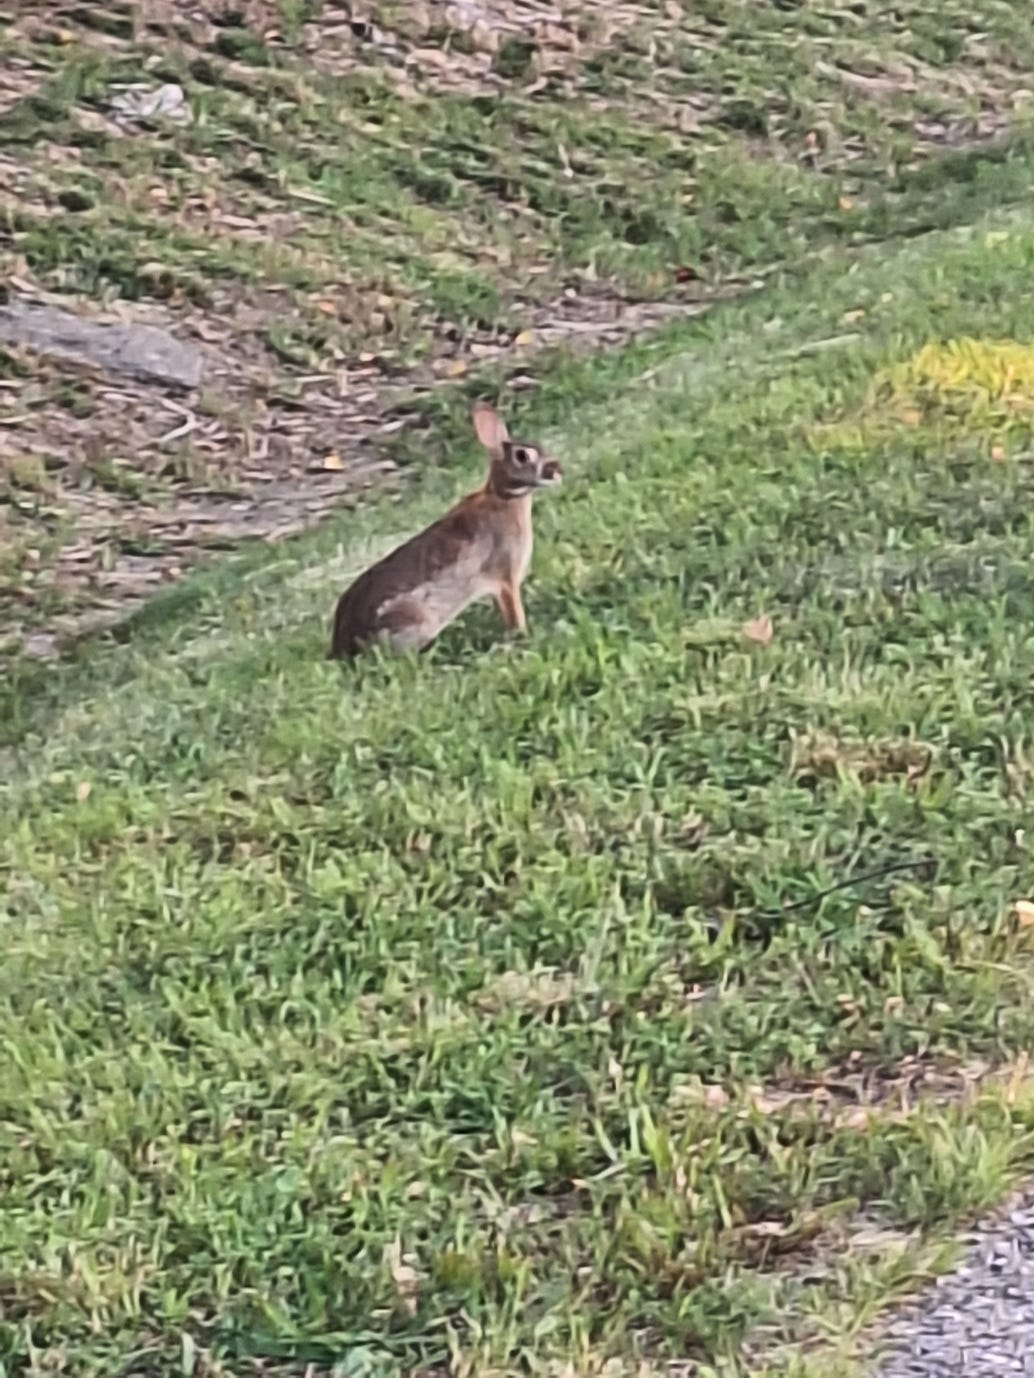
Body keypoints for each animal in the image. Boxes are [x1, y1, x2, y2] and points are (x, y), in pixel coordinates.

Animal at [329, 401, 562, 659]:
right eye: (522, 456)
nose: (557, 469)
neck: (503, 496)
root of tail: (344, 647)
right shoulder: (506, 577)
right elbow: (514, 611)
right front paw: (522, 635)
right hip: (416, 619)